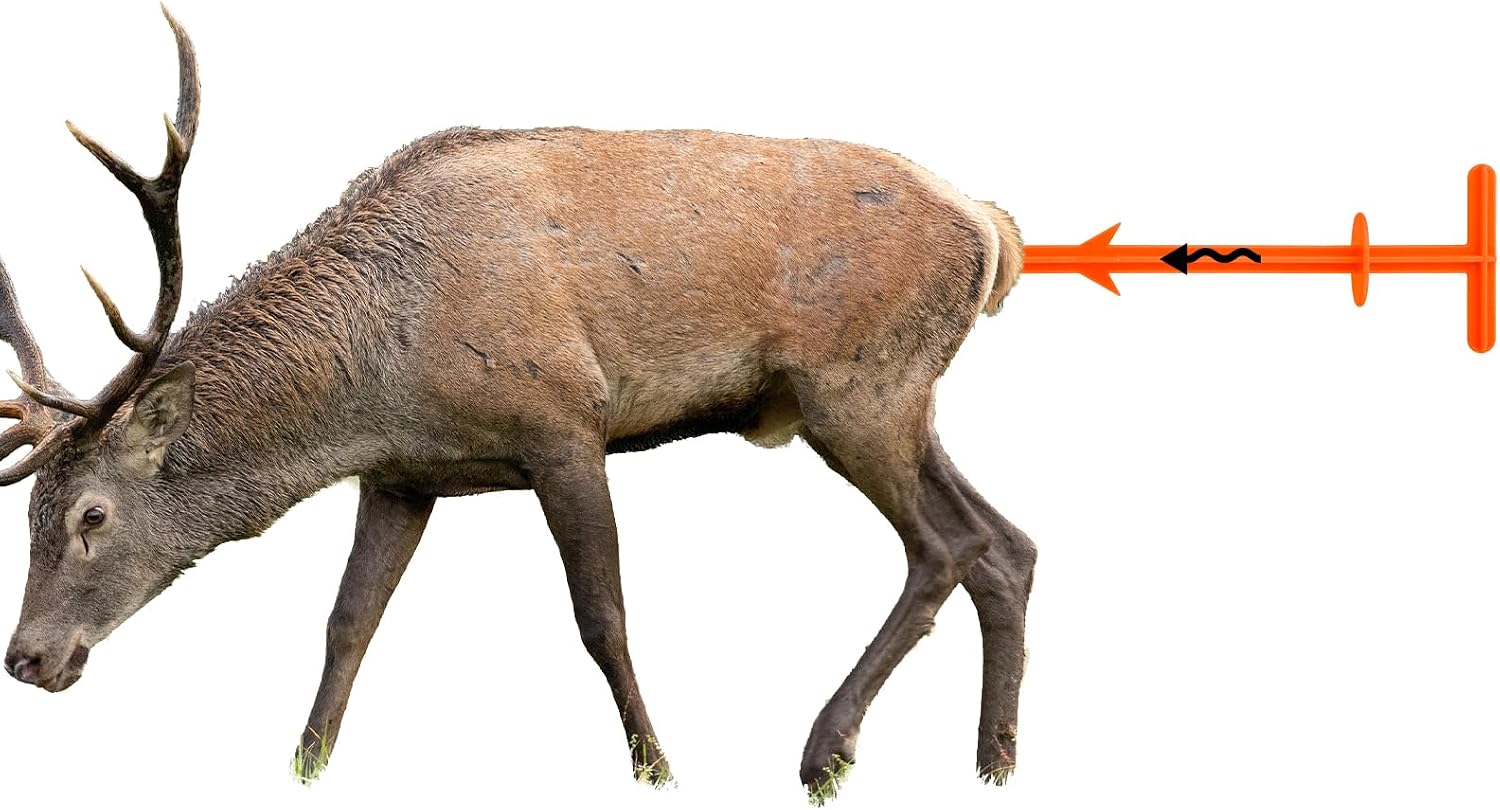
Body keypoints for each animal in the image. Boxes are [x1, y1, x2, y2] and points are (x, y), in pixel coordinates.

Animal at [0, 7, 1036, 797]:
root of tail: (993, 228)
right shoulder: (401, 476)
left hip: (856, 388)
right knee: (1007, 545)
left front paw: (657, 766)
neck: (381, 379)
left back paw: (826, 751)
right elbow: (346, 624)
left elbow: (602, 616)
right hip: (899, 396)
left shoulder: (564, 423)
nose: (26, 658)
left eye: (92, 515)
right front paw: (305, 765)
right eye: (29, 517)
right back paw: (993, 763)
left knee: (946, 547)